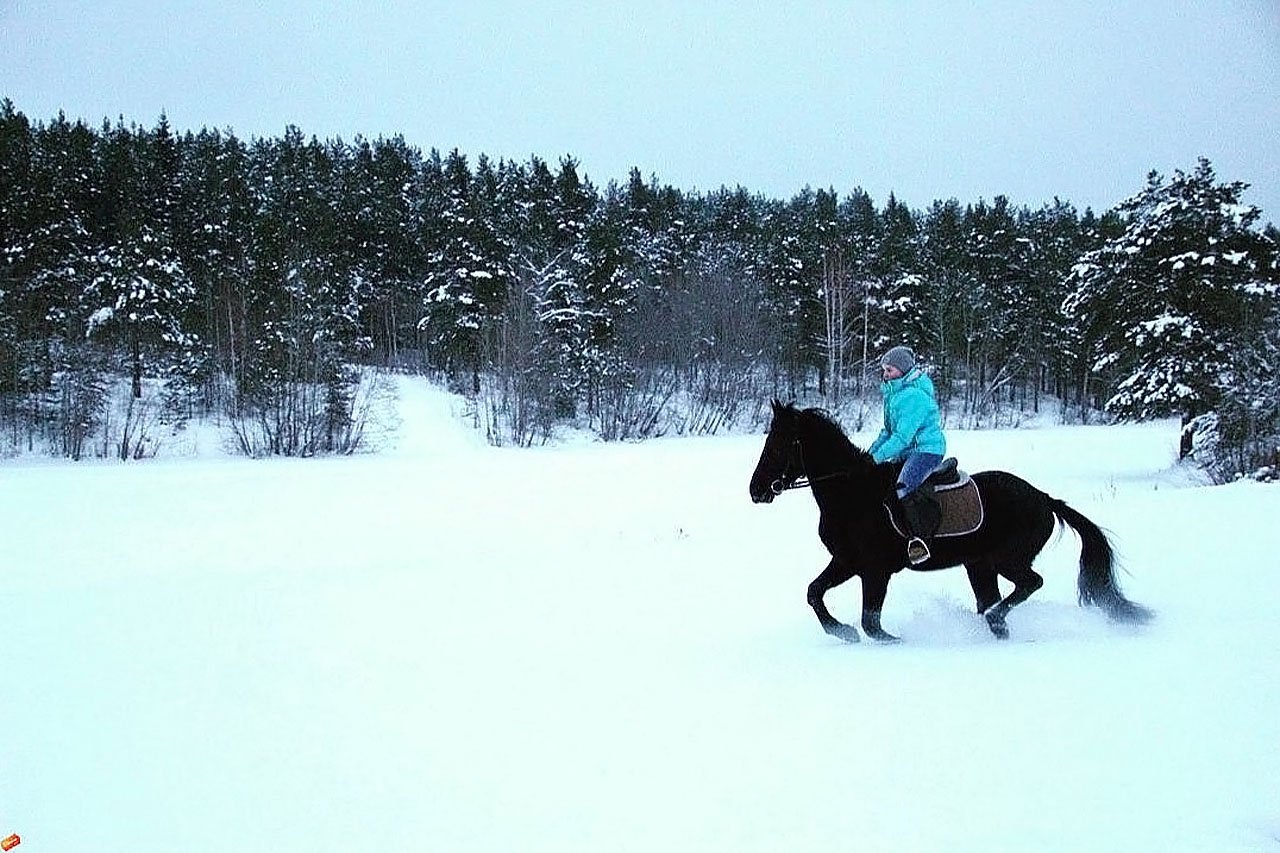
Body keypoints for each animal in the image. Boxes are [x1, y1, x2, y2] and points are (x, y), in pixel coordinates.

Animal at [747, 402, 1157, 640]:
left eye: (779, 444)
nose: (756, 490)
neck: (853, 494)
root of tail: (1043, 498)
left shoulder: (874, 570)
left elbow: (872, 624)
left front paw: (877, 638)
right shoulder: (847, 561)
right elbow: (814, 593)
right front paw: (841, 631)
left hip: (1006, 560)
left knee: (1029, 584)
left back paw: (993, 619)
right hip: (980, 565)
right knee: (998, 598)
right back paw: (995, 624)